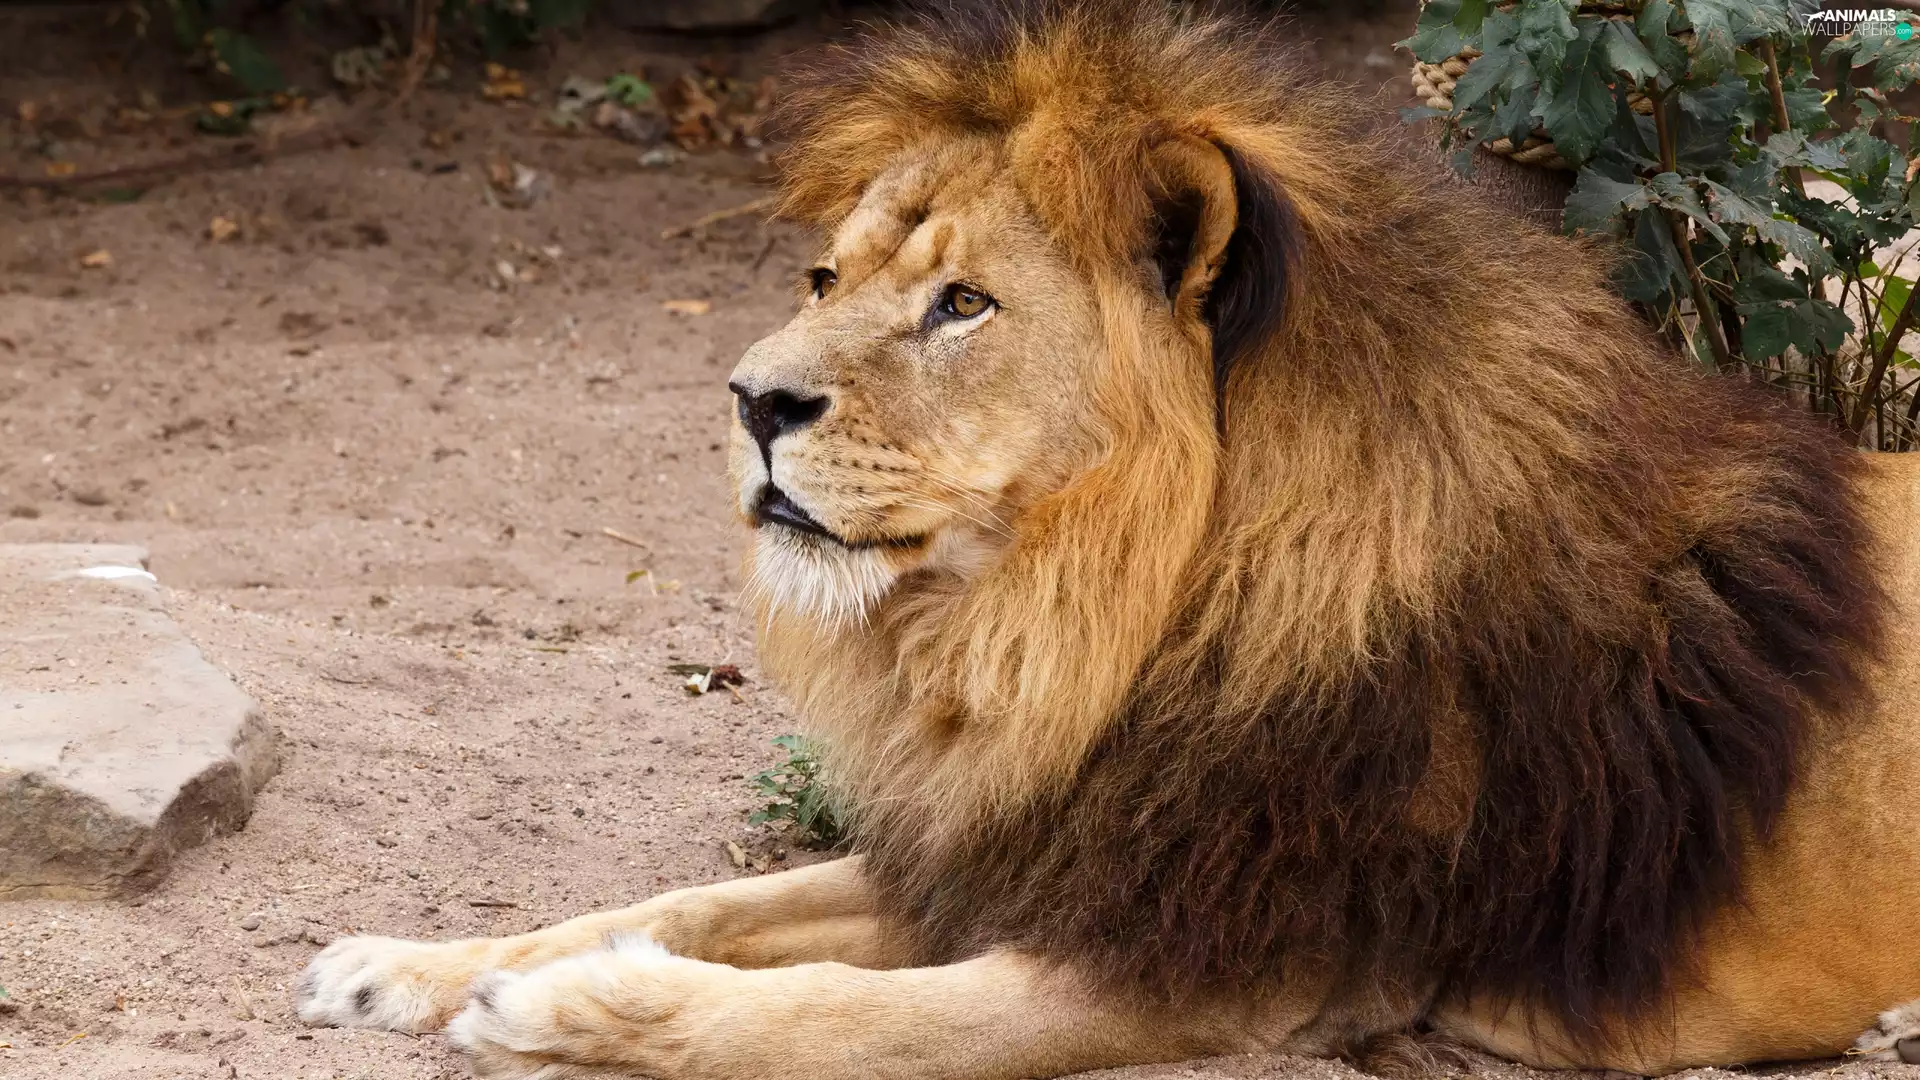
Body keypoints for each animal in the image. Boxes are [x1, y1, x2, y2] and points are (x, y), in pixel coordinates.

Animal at [293, 4, 1920, 1078]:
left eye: (963, 305)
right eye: (824, 278)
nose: (752, 400)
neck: (1089, 627)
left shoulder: (1205, 965)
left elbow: (839, 1018)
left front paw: (565, 1012)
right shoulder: (1025, 853)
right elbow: (691, 901)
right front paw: (408, 967)